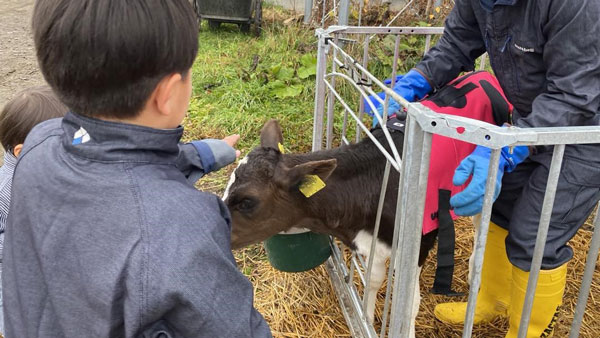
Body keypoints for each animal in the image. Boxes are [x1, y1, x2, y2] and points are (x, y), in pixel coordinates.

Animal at [223, 119, 434, 336]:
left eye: (247, 201)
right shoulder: (372, 242)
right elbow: (373, 280)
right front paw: (367, 319)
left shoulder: (419, 246)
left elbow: (410, 307)